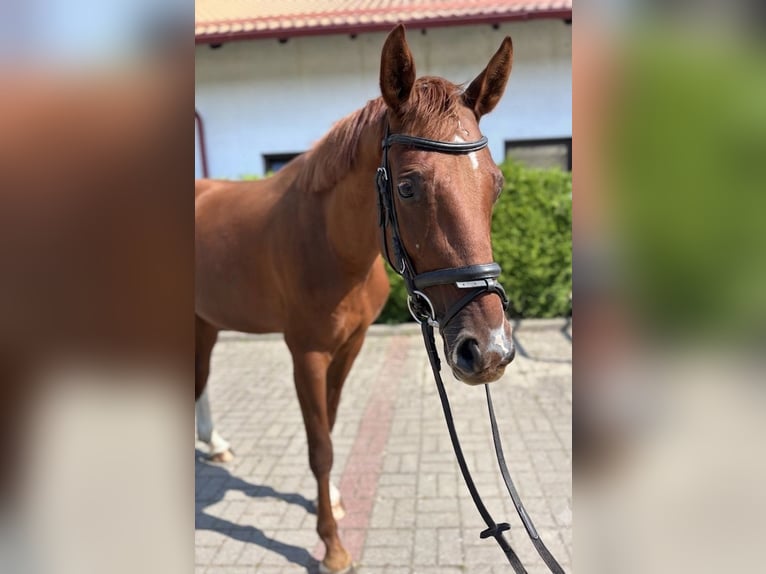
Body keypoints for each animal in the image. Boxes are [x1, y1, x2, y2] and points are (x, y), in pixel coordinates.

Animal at [195, 24, 515, 574]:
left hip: (205, 321)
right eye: (407, 187)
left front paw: (336, 503)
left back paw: (214, 445)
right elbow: (319, 446)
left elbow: (333, 421)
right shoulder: (306, 354)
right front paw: (333, 545)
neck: (330, 243)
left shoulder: (349, 346)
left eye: (495, 185)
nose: (489, 349)